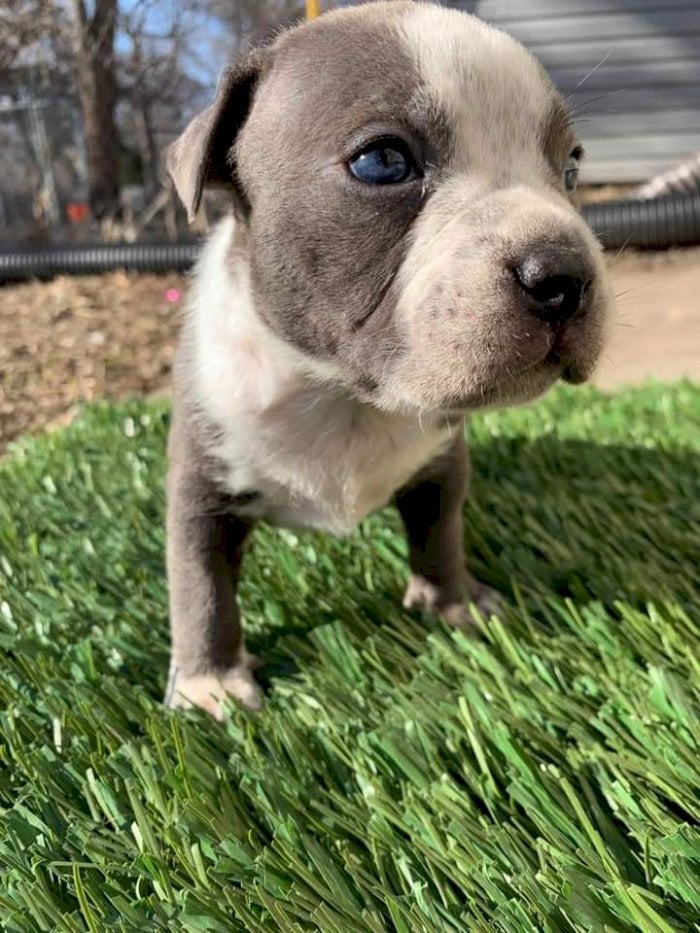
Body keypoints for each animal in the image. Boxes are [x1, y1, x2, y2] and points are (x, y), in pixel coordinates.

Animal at [163, 1, 608, 712]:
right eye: (382, 163)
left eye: (570, 170)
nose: (565, 274)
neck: (343, 394)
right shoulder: (200, 488)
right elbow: (200, 584)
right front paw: (211, 684)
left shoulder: (444, 461)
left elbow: (440, 532)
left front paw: (453, 602)